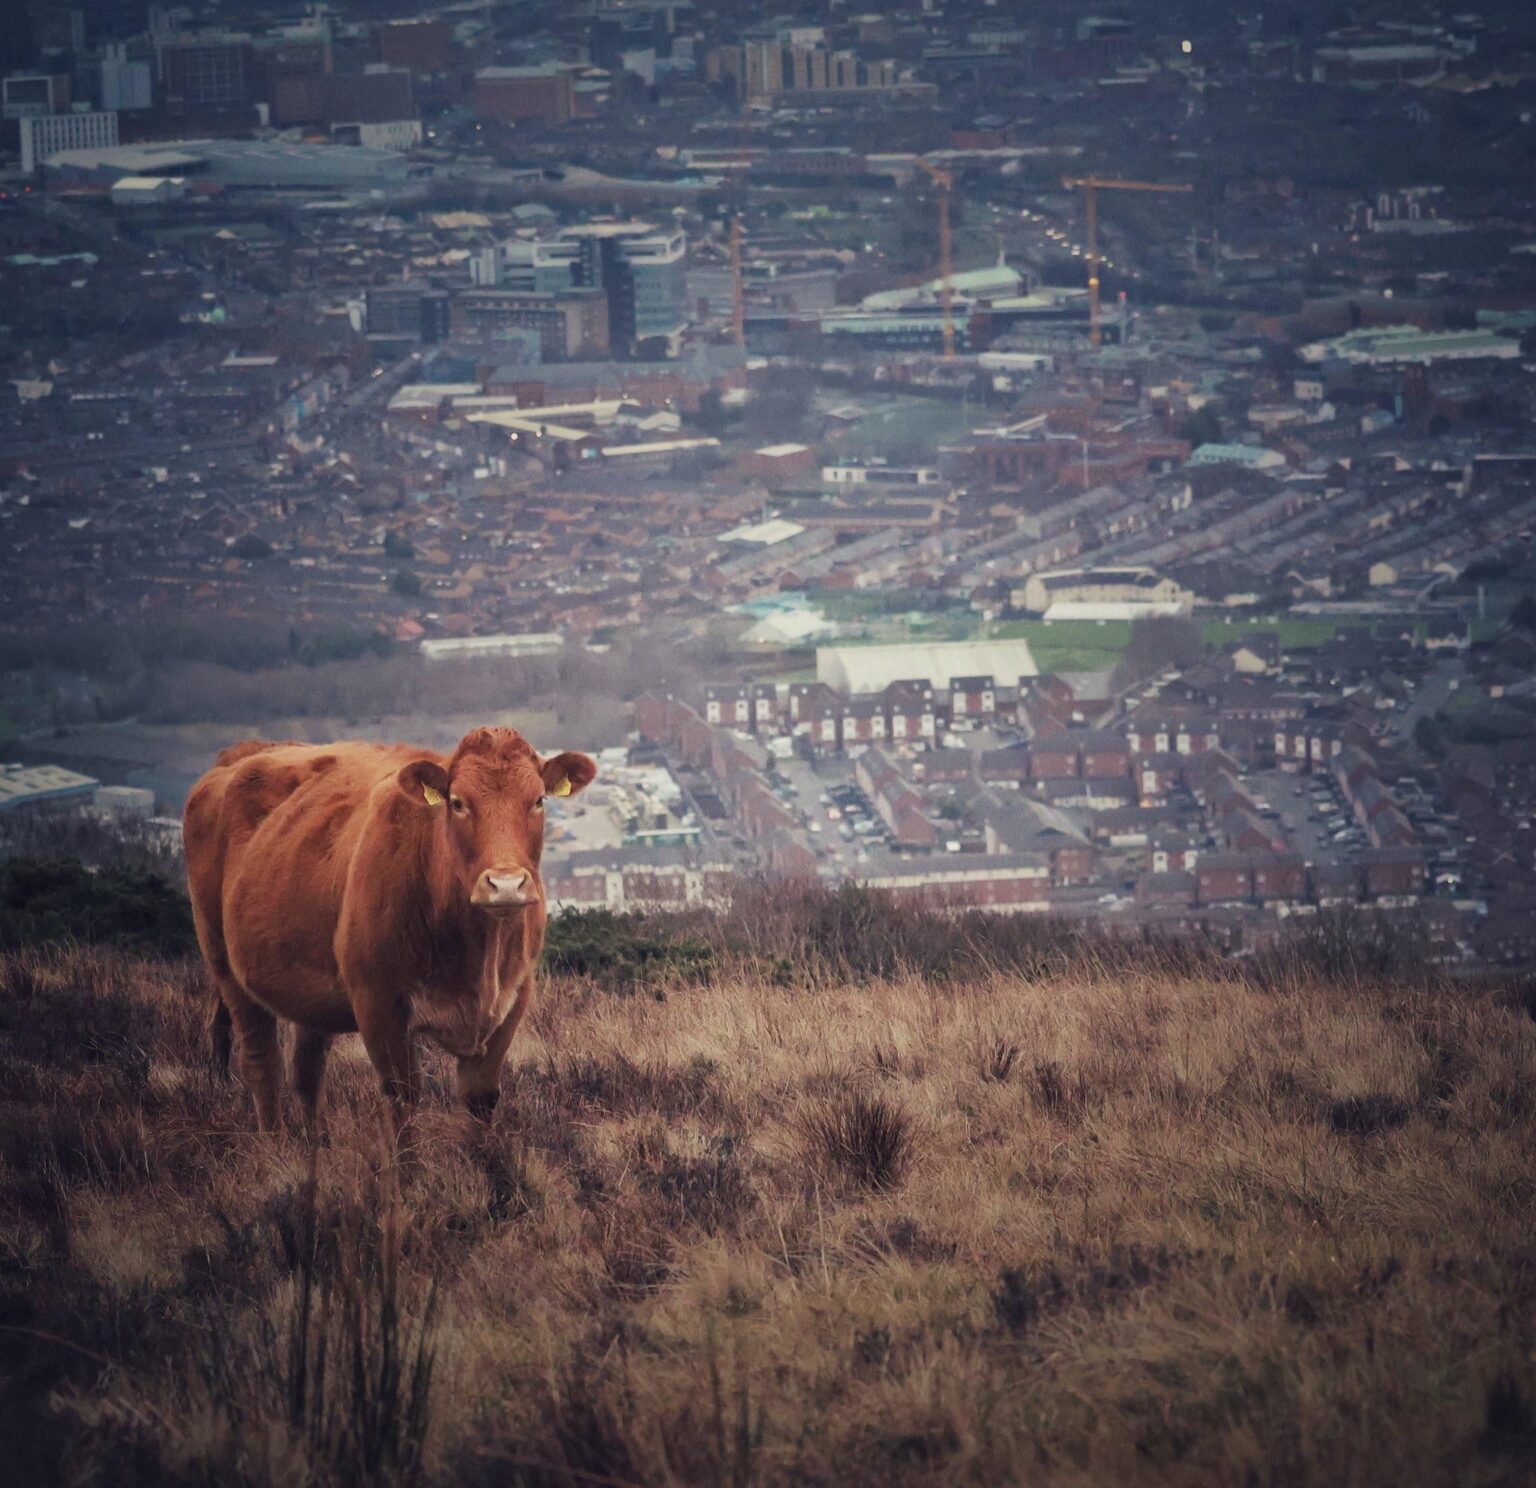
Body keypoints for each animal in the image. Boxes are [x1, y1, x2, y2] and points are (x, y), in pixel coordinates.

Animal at [183, 727, 596, 1136]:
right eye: (458, 803)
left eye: (538, 800)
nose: (506, 884)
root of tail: (239, 755)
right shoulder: (378, 1003)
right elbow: (402, 1101)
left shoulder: (512, 1002)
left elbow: (480, 1101)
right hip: (226, 966)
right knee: (262, 1063)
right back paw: (277, 1147)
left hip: (308, 992)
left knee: (306, 1073)